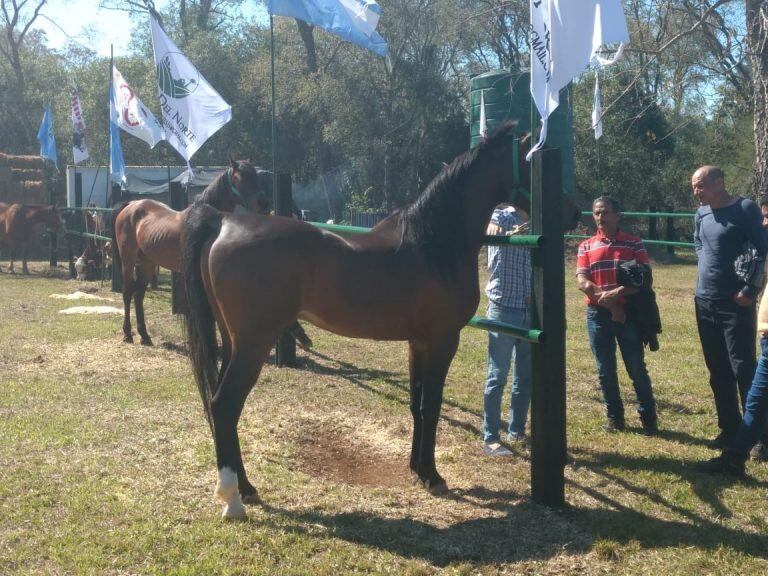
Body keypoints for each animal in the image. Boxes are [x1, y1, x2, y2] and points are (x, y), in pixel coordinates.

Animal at [112, 160, 268, 344]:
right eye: (239, 177)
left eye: (256, 175)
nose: (264, 203)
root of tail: (130, 205)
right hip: (128, 260)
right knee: (128, 292)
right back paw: (128, 334)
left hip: (147, 263)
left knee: (139, 294)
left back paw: (144, 335)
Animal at [182, 124, 584, 520]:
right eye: (529, 160)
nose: (574, 212)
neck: (433, 244)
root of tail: (224, 223)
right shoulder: (443, 340)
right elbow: (431, 406)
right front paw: (434, 477)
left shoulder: (418, 343)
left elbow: (416, 404)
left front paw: (417, 469)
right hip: (254, 342)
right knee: (225, 405)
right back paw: (233, 499)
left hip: (233, 340)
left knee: (222, 406)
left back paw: (247, 487)